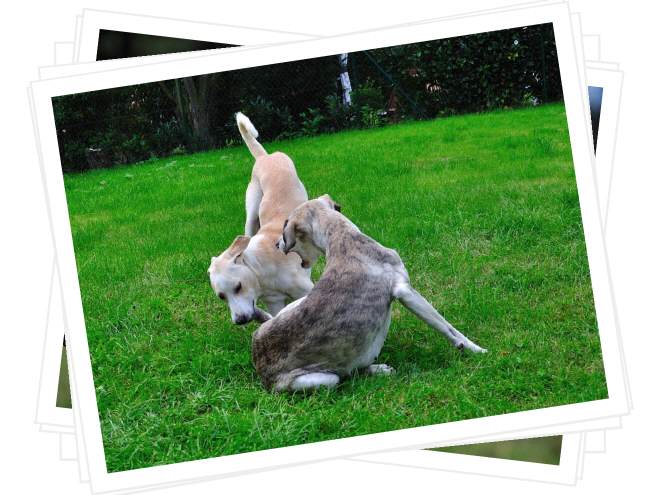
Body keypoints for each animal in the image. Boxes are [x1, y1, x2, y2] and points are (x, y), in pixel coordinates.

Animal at [208, 113, 313, 324]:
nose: (240, 320)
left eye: (238, 287)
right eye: (221, 296)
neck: (262, 267)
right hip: (251, 218)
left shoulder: (307, 289)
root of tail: (265, 157)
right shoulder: (274, 302)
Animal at [252, 194, 486, 392]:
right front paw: (476, 350)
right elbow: (448, 328)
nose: (277, 244)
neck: (341, 237)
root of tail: (259, 365)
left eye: (284, 232)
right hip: (323, 379)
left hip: (295, 307)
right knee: (346, 375)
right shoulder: (406, 291)